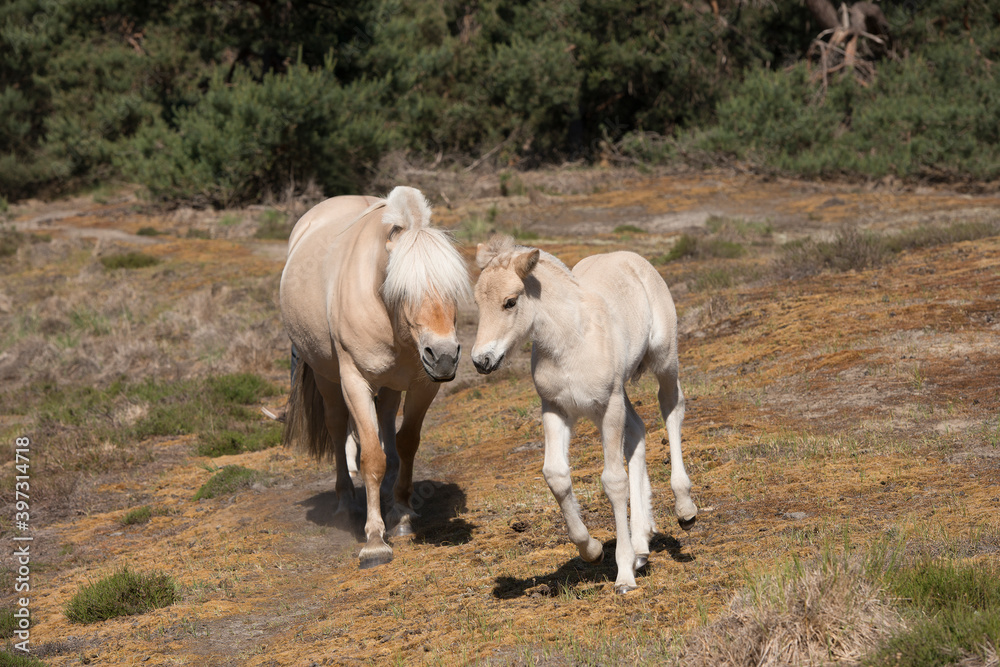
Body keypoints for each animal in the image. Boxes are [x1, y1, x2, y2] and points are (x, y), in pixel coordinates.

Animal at [280, 186, 471, 569]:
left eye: (452, 290)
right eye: (401, 290)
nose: (444, 357)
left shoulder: (422, 385)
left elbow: (406, 442)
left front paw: (402, 514)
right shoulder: (355, 381)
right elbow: (370, 456)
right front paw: (374, 540)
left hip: (391, 386)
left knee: (385, 421)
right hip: (327, 378)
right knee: (338, 429)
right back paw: (345, 504)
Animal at [470, 236, 697, 593]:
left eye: (510, 302)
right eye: (478, 302)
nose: (482, 361)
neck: (571, 340)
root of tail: (628, 256)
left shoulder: (609, 407)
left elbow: (613, 481)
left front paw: (623, 575)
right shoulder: (555, 408)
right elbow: (556, 475)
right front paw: (592, 550)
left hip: (663, 359)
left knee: (671, 407)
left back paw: (684, 509)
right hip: (621, 393)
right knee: (638, 431)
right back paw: (642, 544)